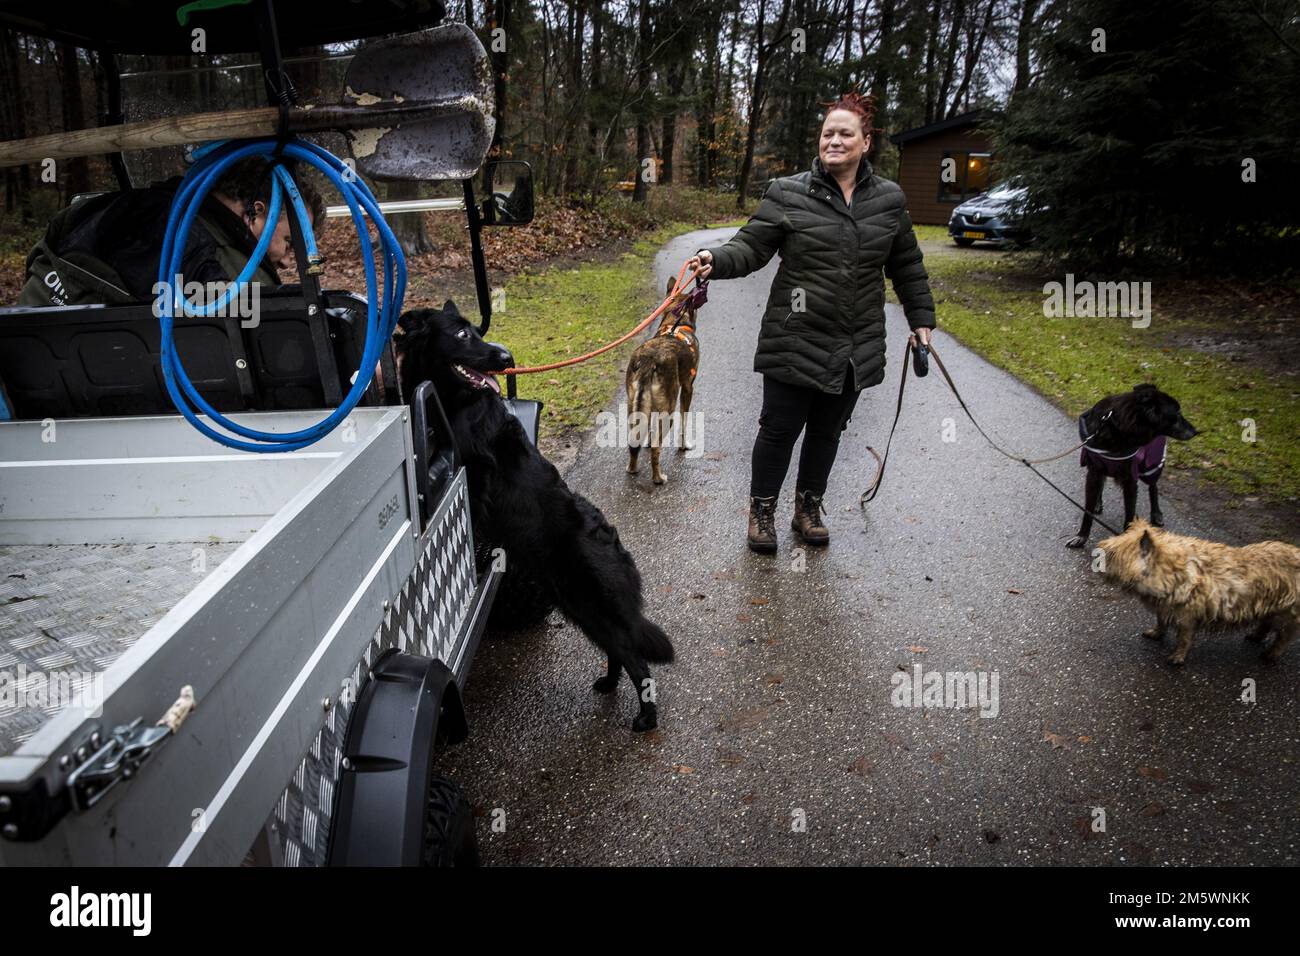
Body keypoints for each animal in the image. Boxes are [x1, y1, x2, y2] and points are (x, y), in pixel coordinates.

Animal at [395, 303, 676, 728]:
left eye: (475, 331)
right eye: (462, 335)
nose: (506, 358)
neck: (456, 401)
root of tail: (621, 552)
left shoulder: (475, 474)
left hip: (594, 609)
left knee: (637, 661)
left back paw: (646, 718)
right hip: (581, 610)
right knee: (616, 651)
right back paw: (609, 684)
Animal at [621, 277, 696, 486]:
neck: (675, 324)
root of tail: (649, 360)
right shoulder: (688, 389)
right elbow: (684, 423)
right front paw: (684, 446)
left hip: (633, 406)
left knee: (633, 443)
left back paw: (633, 468)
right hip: (668, 411)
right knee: (656, 448)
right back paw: (658, 478)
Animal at [1066, 379, 1196, 546]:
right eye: (1177, 414)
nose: (1196, 431)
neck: (1115, 427)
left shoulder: (1130, 480)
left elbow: (1129, 514)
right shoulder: (1094, 471)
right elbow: (1088, 510)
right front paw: (1082, 536)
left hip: (1152, 464)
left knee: (1153, 487)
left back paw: (1156, 513)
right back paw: (1098, 503)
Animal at [1097, 522, 1300, 665]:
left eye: (1111, 553)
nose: (1096, 559)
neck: (1169, 571)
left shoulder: (1187, 614)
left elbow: (1184, 638)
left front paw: (1177, 657)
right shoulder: (1165, 606)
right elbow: (1161, 621)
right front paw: (1156, 633)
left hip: (1288, 613)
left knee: (1284, 636)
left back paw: (1271, 654)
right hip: (1271, 606)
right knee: (1266, 623)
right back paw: (1255, 636)